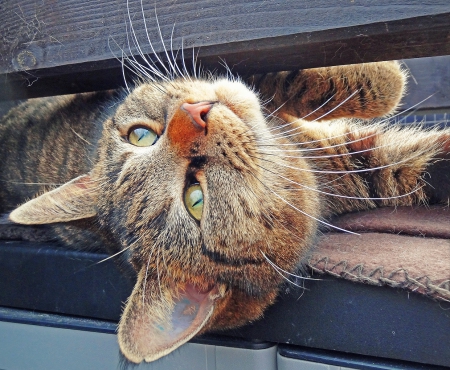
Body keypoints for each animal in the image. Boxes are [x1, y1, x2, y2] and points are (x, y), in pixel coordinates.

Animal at [1, 59, 448, 362]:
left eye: (141, 136)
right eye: (195, 200)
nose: (194, 115)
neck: (299, 155)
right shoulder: (370, 168)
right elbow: (390, 88)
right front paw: (384, 71)